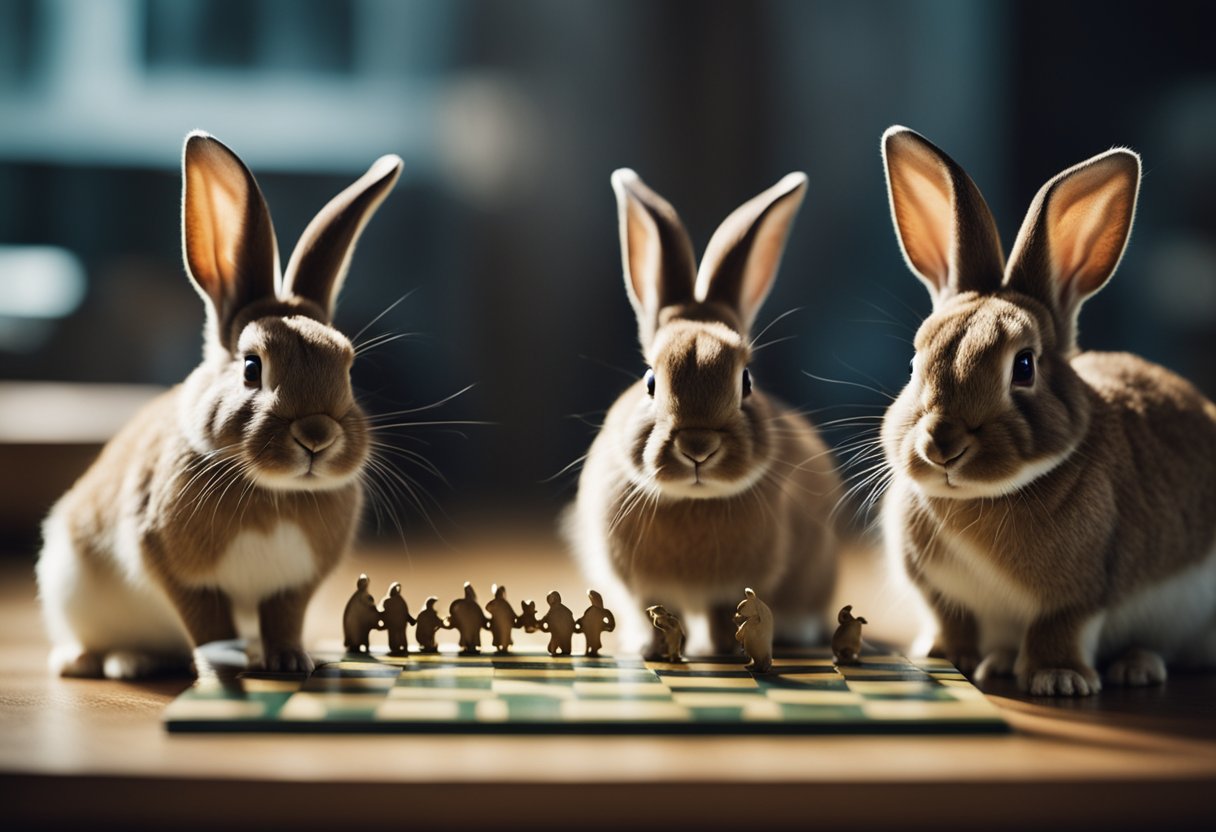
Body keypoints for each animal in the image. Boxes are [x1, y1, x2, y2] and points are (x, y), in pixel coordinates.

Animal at [33, 130, 401, 676]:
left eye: (349, 368)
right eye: (252, 367)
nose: (317, 435)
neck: (275, 492)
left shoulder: (292, 587)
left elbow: (283, 620)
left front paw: (292, 662)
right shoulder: (181, 574)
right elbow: (208, 624)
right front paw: (220, 670)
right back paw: (104, 662)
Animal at [564, 165, 841, 651]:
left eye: (747, 382)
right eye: (650, 381)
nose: (697, 446)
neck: (693, 501)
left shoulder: (733, 592)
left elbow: (724, 616)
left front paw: (724, 651)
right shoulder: (643, 591)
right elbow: (651, 613)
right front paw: (648, 649)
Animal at [880, 123, 1216, 695]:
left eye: (1024, 367)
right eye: (914, 360)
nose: (943, 445)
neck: (979, 499)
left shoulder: (1080, 593)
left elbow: (1058, 629)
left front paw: (1058, 680)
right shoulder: (942, 594)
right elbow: (953, 620)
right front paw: (944, 655)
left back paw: (1136, 666)